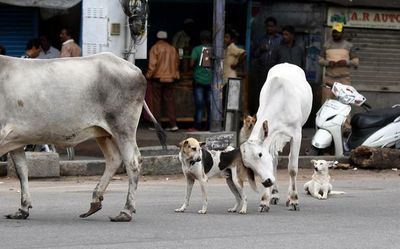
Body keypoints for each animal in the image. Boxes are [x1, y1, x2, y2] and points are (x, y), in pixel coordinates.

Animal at [0, 53, 166, 222]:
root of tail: (135, 69)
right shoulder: (15, 141)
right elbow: (22, 170)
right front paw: (23, 209)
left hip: (123, 129)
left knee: (132, 162)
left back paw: (126, 211)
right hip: (104, 133)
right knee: (114, 159)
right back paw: (95, 202)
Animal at [241, 63, 312, 211]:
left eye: (260, 154)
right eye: (248, 164)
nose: (267, 182)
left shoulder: (296, 134)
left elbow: (292, 169)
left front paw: (294, 200)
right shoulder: (270, 137)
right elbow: (272, 164)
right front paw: (265, 200)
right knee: (274, 161)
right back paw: (274, 194)